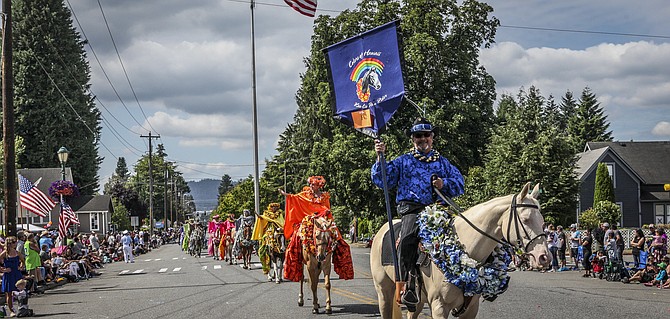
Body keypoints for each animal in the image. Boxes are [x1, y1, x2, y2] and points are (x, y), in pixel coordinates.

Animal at [370, 184, 552, 318]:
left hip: (418, 300)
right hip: (384, 292)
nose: (544, 257)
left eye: (542, 221)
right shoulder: (439, 307)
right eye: (526, 219)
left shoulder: (471, 308)